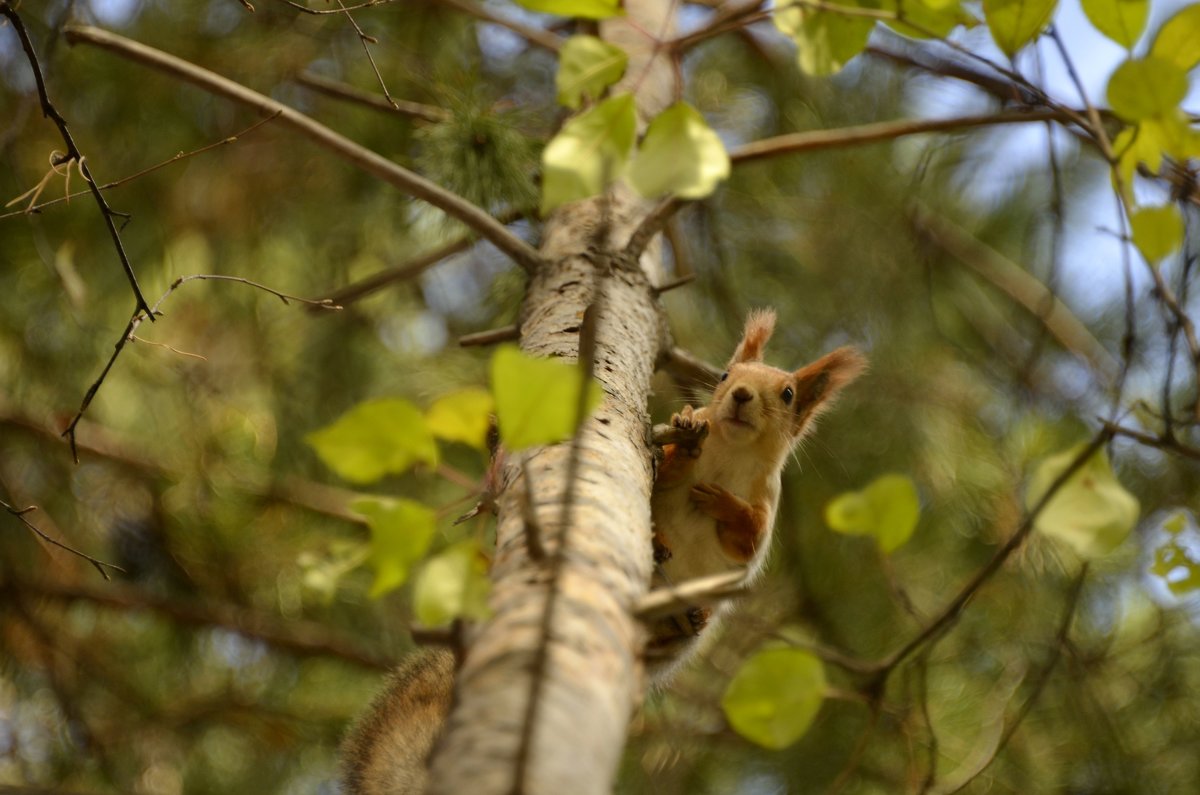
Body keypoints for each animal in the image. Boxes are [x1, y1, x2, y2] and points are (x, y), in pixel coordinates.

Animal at [648, 307, 864, 677]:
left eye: (788, 394)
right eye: (725, 375)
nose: (742, 393)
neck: (733, 452)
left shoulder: (767, 499)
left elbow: (748, 540)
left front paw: (721, 502)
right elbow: (661, 471)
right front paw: (685, 439)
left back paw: (699, 616)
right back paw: (657, 541)